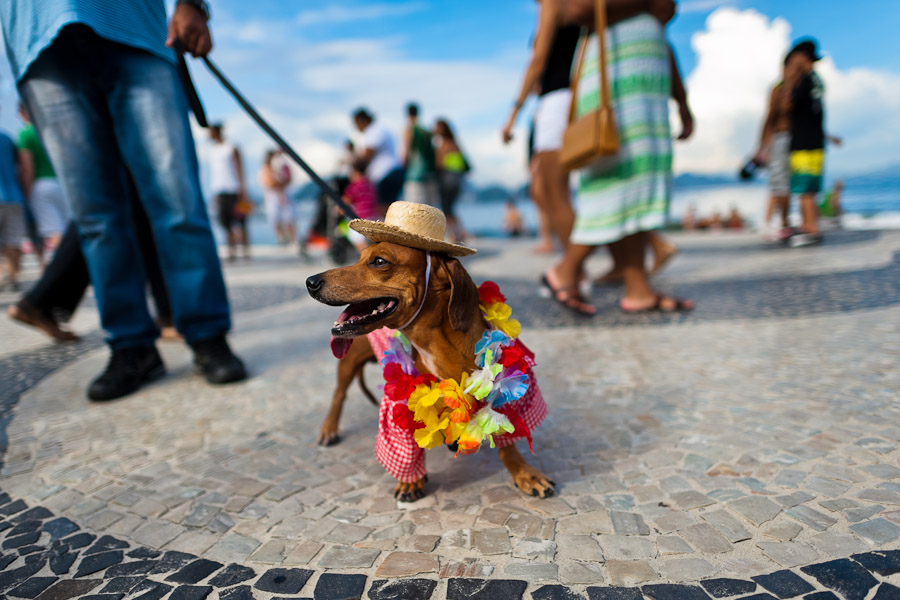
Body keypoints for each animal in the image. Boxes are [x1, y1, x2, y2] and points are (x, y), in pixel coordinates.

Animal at [306, 241, 556, 500]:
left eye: (379, 261)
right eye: (359, 258)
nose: (311, 282)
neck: (435, 346)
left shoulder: (501, 391)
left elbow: (506, 439)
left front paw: (525, 473)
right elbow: (409, 446)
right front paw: (411, 481)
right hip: (349, 360)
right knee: (339, 394)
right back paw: (329, 428)